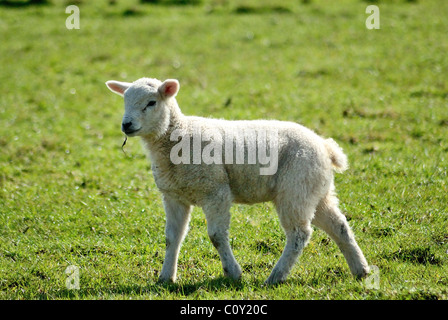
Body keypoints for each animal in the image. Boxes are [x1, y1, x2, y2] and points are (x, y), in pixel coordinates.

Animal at [106, 78, 372, 284]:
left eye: (151, 103)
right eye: (124, 101)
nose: (126, 125)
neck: (178, 136)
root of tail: (326, 147)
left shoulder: (216, 191)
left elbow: (216, 236)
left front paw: (233, 273)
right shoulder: (173, 196)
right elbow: (172, 237)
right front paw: (165, 278)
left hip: (295, 189)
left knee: (299, 234)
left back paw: (275, 277)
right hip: (315, 191)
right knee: (339, 226)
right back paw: (361, 270)